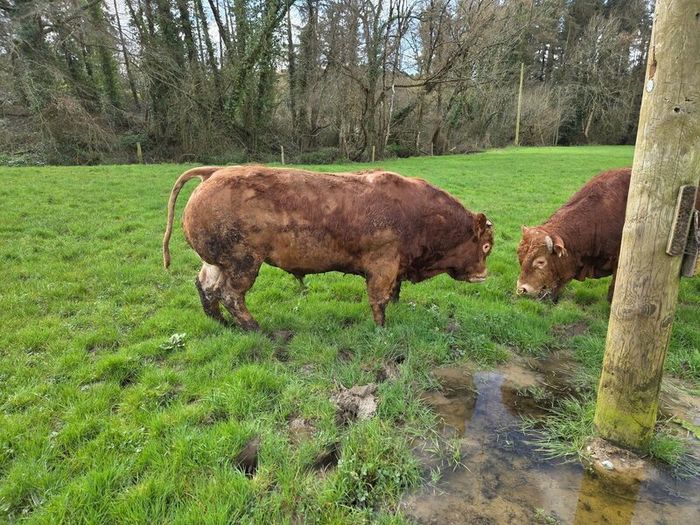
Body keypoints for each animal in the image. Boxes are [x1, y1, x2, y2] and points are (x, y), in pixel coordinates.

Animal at [163, 165, 494, 330]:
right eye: (486, 245)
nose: (483, 275)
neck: (417, 215)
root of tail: (214, 173)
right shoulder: (382, 264)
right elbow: (379, 300)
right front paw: (382, 329)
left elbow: (393, 293)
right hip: (243, 261)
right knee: (230, 294)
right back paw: (255, 327)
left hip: (218, 261)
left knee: (206, 285)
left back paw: (220, 322)